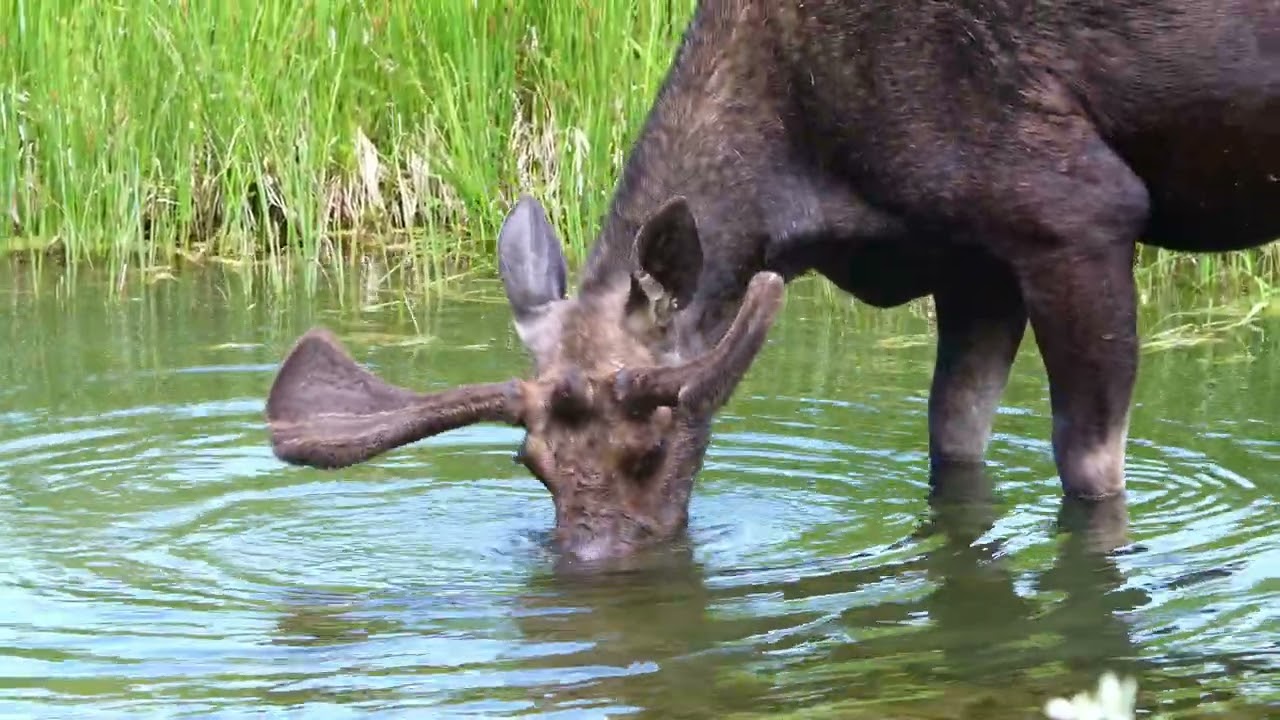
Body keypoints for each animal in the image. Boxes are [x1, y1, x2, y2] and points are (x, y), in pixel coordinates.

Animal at [264, 1, 1279, 562]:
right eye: (532, 465)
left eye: (654, 444)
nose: (593, 565)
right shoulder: (975, 260)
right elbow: (955, 443)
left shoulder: (1076, 212)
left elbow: (1088, 466)